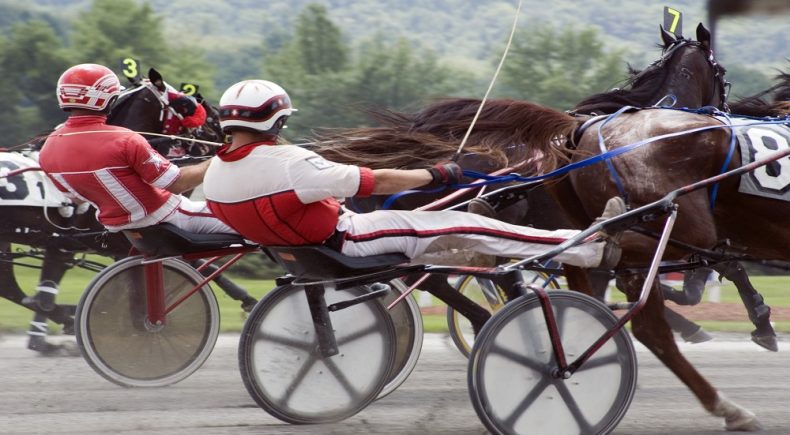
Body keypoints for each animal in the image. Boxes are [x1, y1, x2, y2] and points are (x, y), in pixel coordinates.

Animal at [0, 70, 254, 356]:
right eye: (188, 104)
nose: (225, 131)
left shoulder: (64, 243)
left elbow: (44, 296)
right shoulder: (118, 242)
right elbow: (197, 261)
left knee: (9, 288)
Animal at [310, 23, 784, 430]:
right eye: (722, 74)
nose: (725, 109)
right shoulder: (686, 223)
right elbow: (721, 268)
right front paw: (760, 322)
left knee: (433, 279)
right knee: (435, 279)